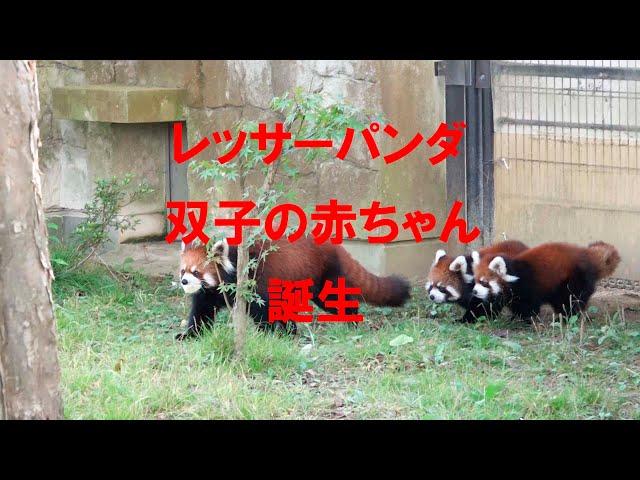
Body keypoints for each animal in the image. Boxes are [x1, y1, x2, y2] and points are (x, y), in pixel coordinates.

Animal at [174, 235, 410, 340]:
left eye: (197, 272)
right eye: (183, 270)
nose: (184, 281)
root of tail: (334, 246)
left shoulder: (255, 283)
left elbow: (263, 311)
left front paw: (267, 335)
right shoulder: (210, 293)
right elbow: (201, 313)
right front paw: (189, 335)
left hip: (324, 280)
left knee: (338, 300)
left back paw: (352, 320)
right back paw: (290, 331)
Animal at [470, 242, 620, 320]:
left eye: (484, 282)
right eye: (476, 281)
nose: (474, 291)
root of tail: (587, 254)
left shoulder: (528, 288)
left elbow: (529, 307)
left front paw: (525, 319)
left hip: (574, 280)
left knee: (572, 300)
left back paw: (567, 317)